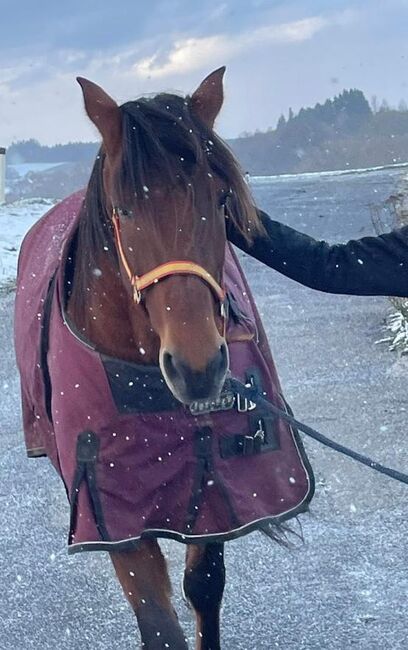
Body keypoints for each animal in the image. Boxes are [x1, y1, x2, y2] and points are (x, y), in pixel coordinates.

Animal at [12, 67, 312, 648]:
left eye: (221, 200)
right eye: (124, 209)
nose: (198, 370)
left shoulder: (212, 494)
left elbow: (205, 587)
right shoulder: (117, 518)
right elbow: (158, 622)